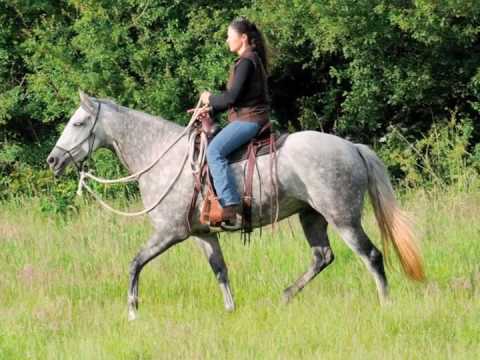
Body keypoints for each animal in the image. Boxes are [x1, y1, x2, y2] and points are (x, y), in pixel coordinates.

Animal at [47, 90, 426, 320]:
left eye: (78, 122)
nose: (53, 160)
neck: (162, 155)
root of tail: (352, 148)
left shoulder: (169, 232)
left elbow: (134, 263)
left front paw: (132, 311)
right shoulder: (202, 234)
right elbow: (220, 270)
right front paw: (230, 310)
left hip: (343, 217)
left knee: (371, 255)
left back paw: (385, 304)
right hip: (312, 216)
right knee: (322, 257)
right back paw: (285, 296)